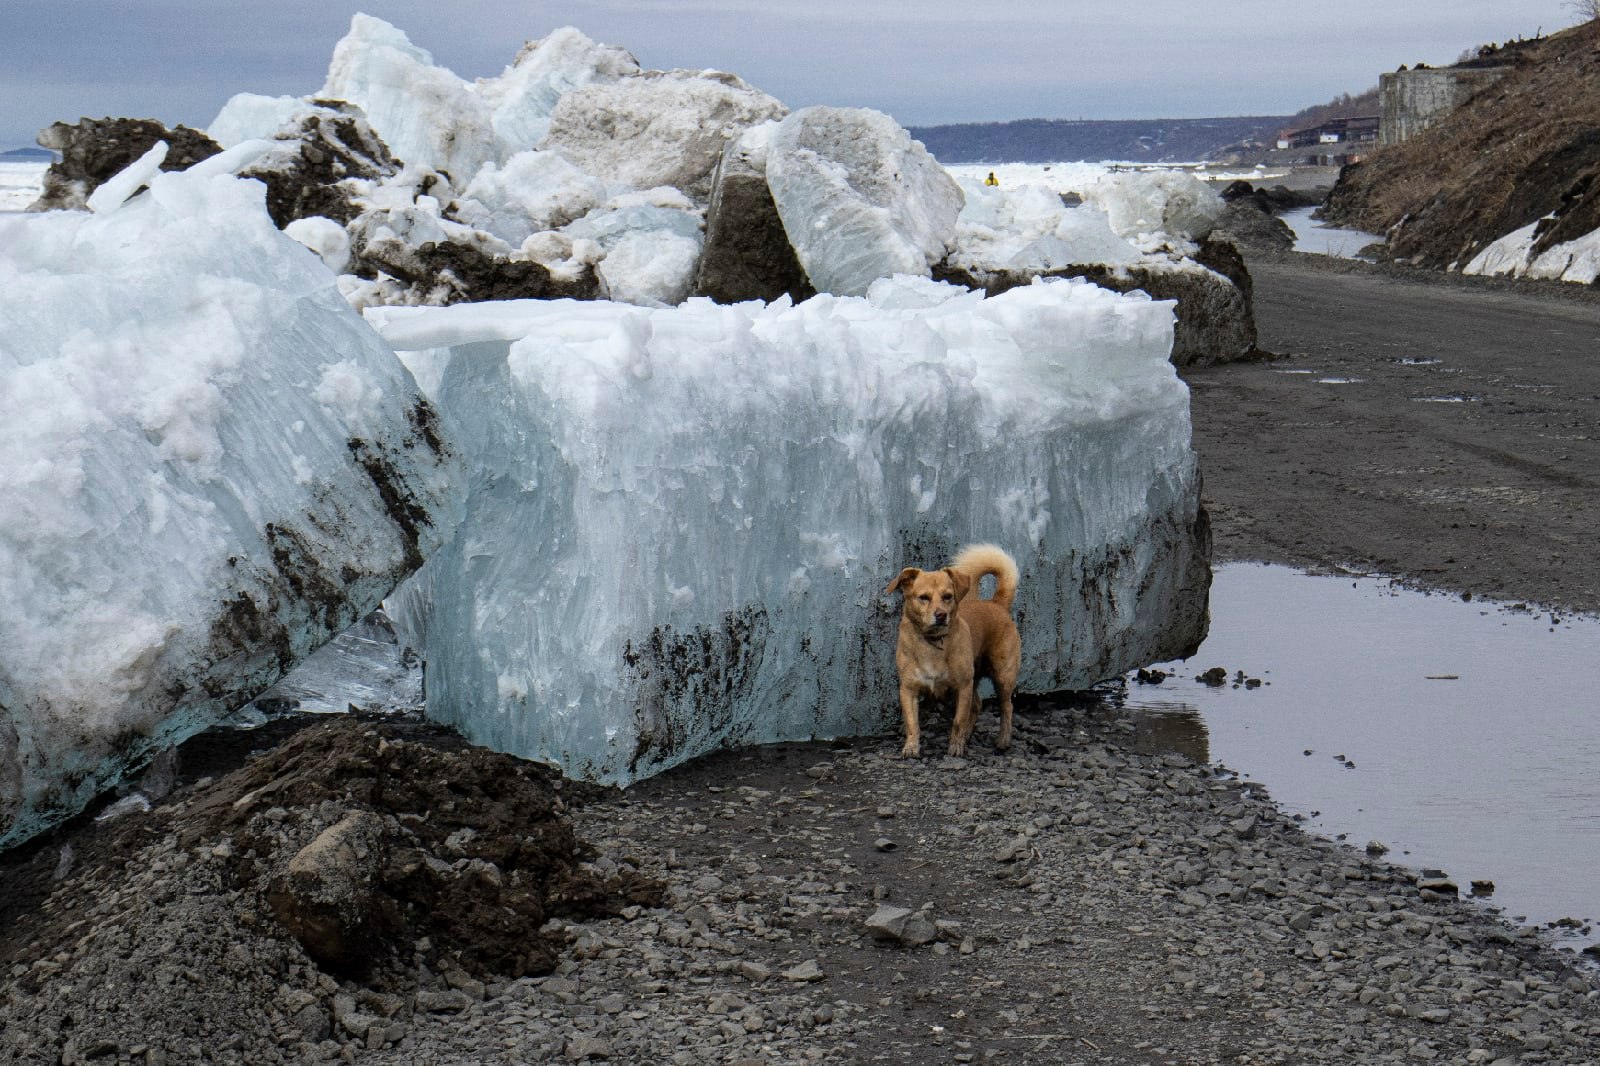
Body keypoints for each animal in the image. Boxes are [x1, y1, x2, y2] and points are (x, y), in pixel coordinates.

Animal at [883, 541, 1017, 755]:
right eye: (924, 597)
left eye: (948, 596)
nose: (941, 615)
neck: (933, 642)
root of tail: (997, 603)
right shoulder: (908, 689)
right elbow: (912, 723)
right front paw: (911, 747)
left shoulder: (962, 687)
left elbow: (958, 720)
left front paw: (955, 747)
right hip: (975, 678)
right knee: (977, 704)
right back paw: (968, 736)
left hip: (1003, 675)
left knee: (1006, 706)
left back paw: (1002, 740)